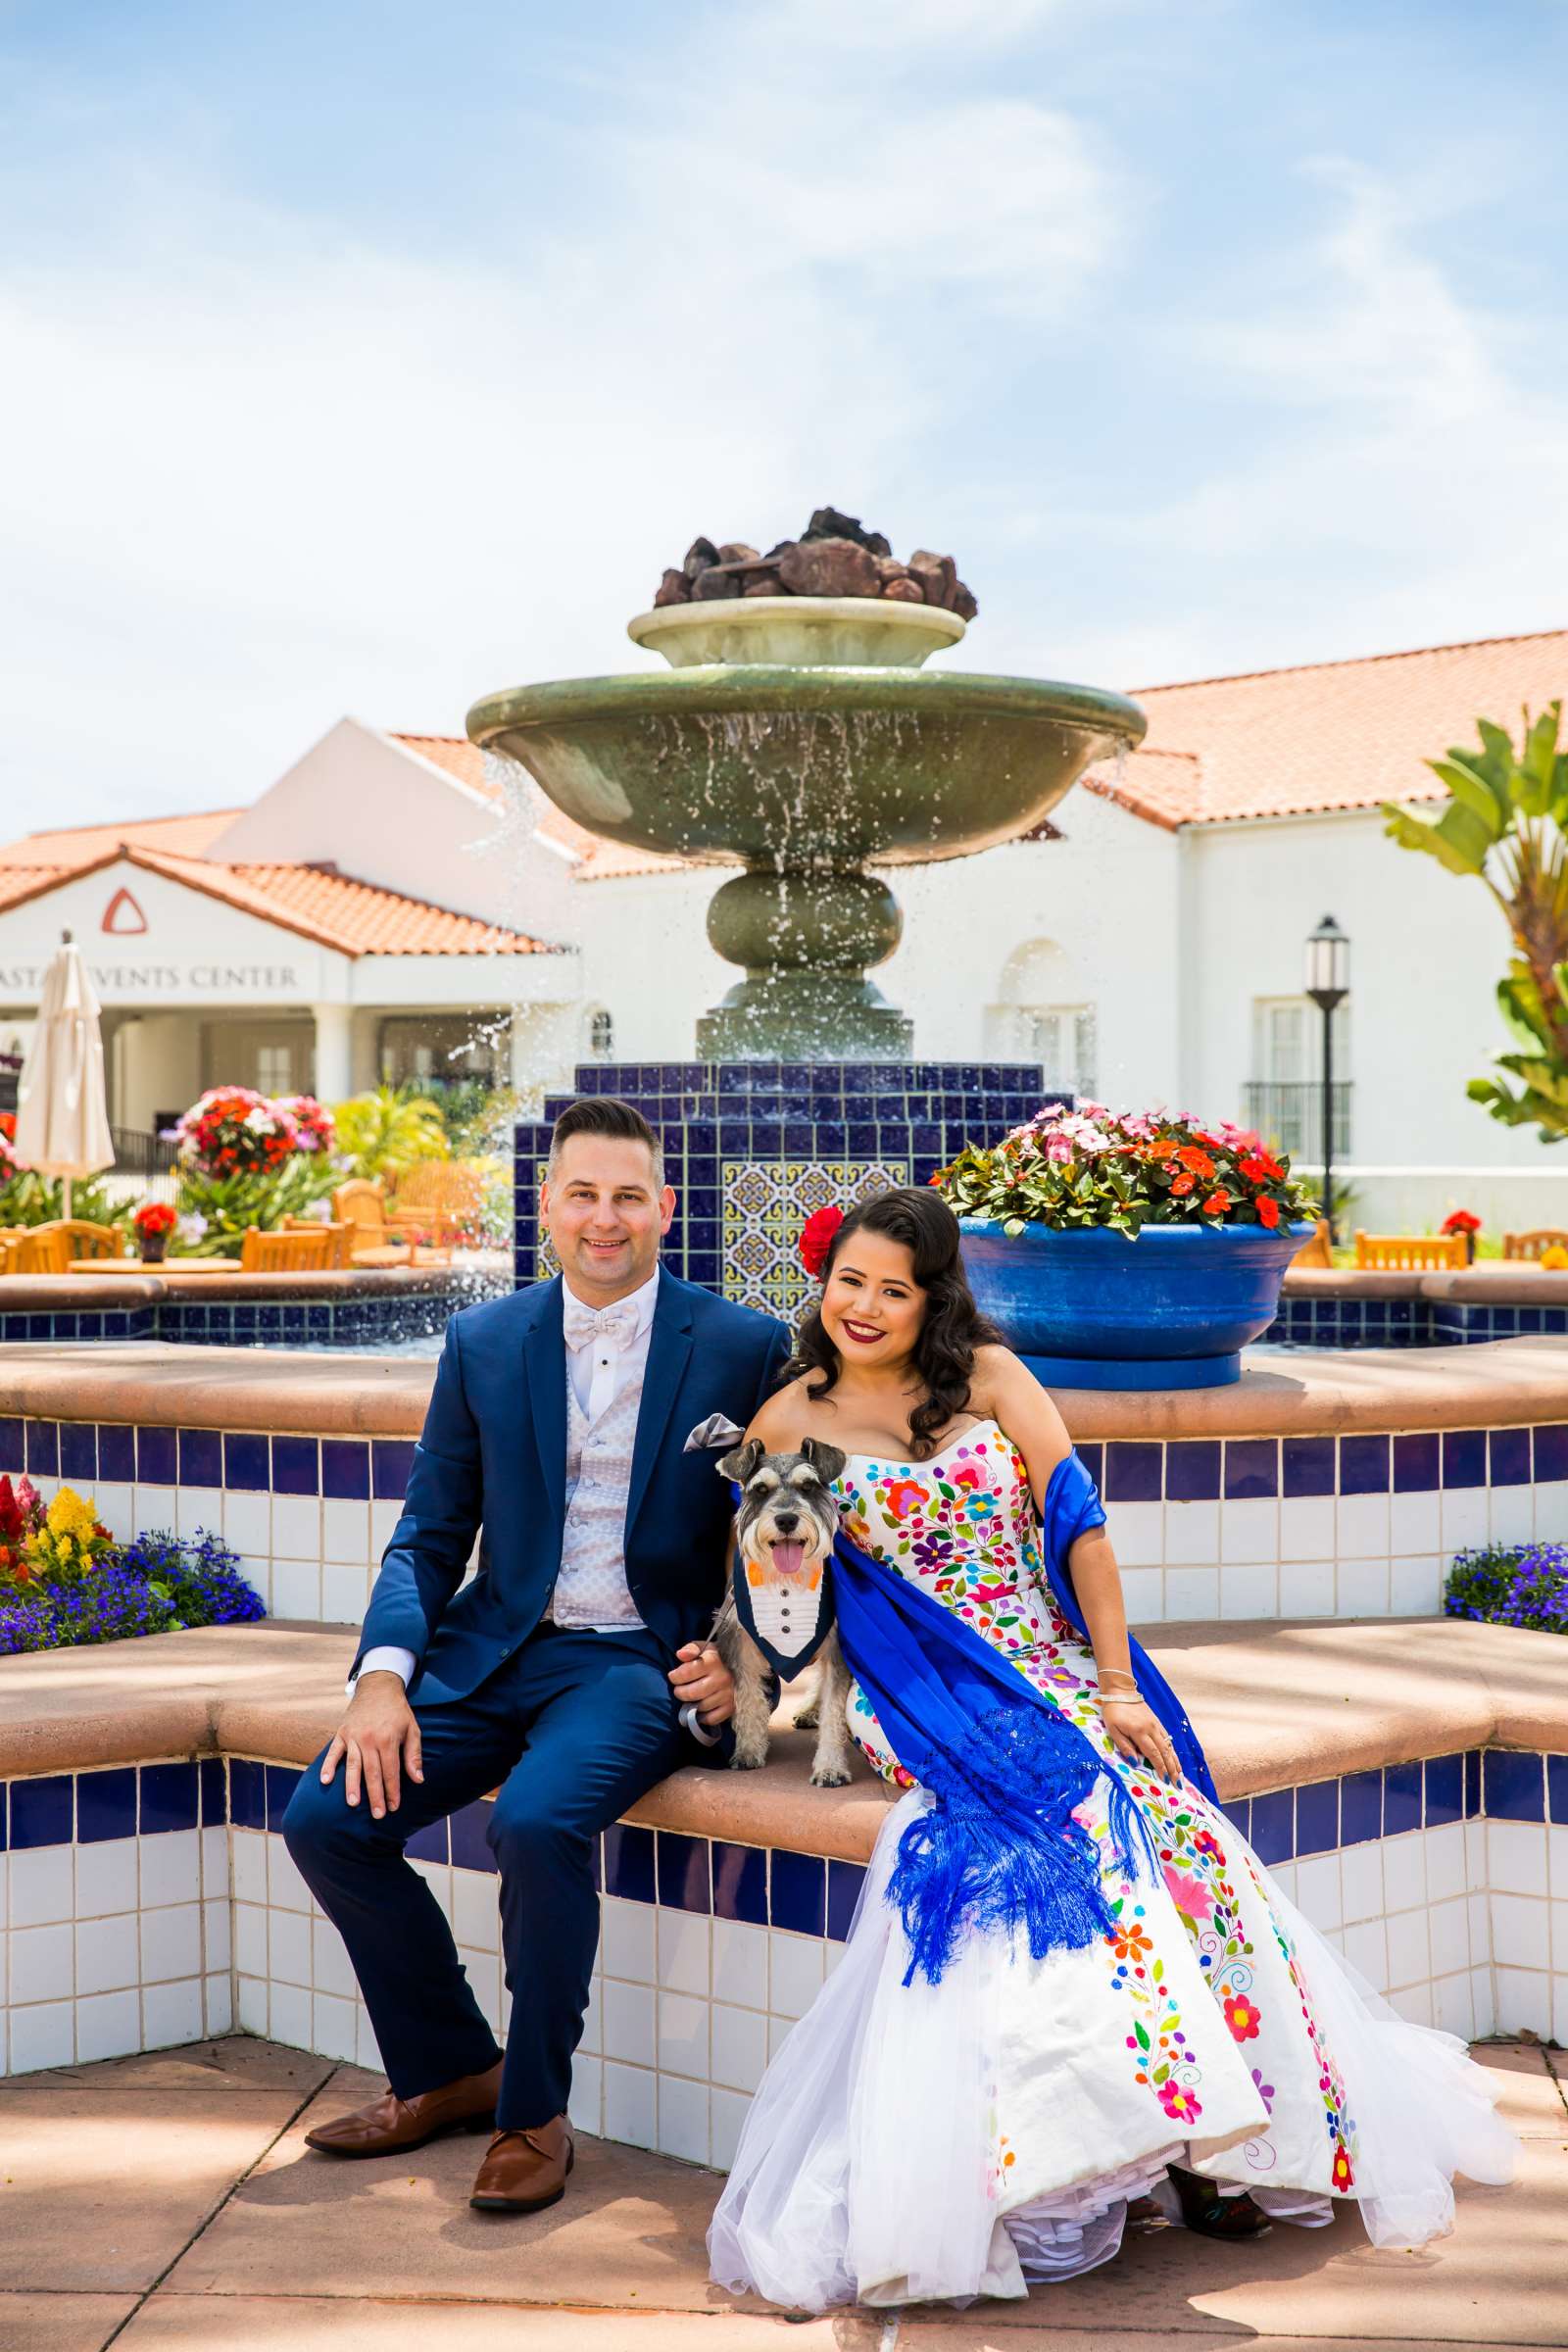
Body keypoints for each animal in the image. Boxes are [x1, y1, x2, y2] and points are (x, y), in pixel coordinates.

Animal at [714, 1430, 851, 1778]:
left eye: (808, 1486)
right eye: (760, 1490)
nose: (786, 1519)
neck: (786, 1582)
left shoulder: (836, 1644)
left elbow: (834, 1707)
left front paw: (830, 1766)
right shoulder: (739, 1641)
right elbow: (748, 1697)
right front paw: (748, 1749)